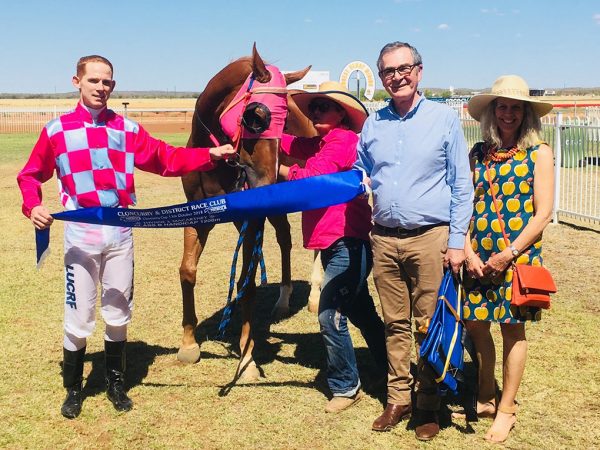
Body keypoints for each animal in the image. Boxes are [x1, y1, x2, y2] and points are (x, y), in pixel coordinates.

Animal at [176, 45, 312, 380]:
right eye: (256, 116)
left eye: (287, 122)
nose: (267, 183)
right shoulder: (197, 216)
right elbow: (187, 271)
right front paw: (188, 344)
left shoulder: (251, 220)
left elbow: (247, 283)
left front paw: (247, 359)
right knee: (285, 237)